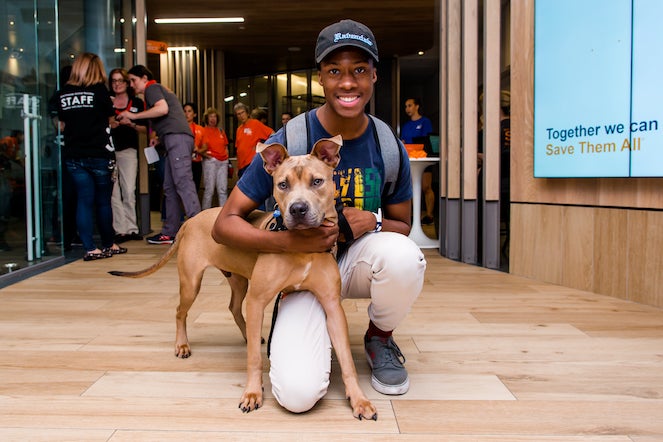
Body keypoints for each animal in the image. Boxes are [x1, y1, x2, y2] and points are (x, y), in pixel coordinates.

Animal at [111, 136, 376, 420]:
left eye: (317, 181)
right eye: (282, 184)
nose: (298, 208)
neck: (302, 247)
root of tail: (191, 220)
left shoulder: (332, 306)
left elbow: (347, 359)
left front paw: (359, 399)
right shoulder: (258, 300)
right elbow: (254, 359)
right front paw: (252, 393)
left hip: (239, 281)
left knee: (233, 307)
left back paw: (248, 334)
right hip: (192, 283)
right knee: (180, 311)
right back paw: (182, 345)